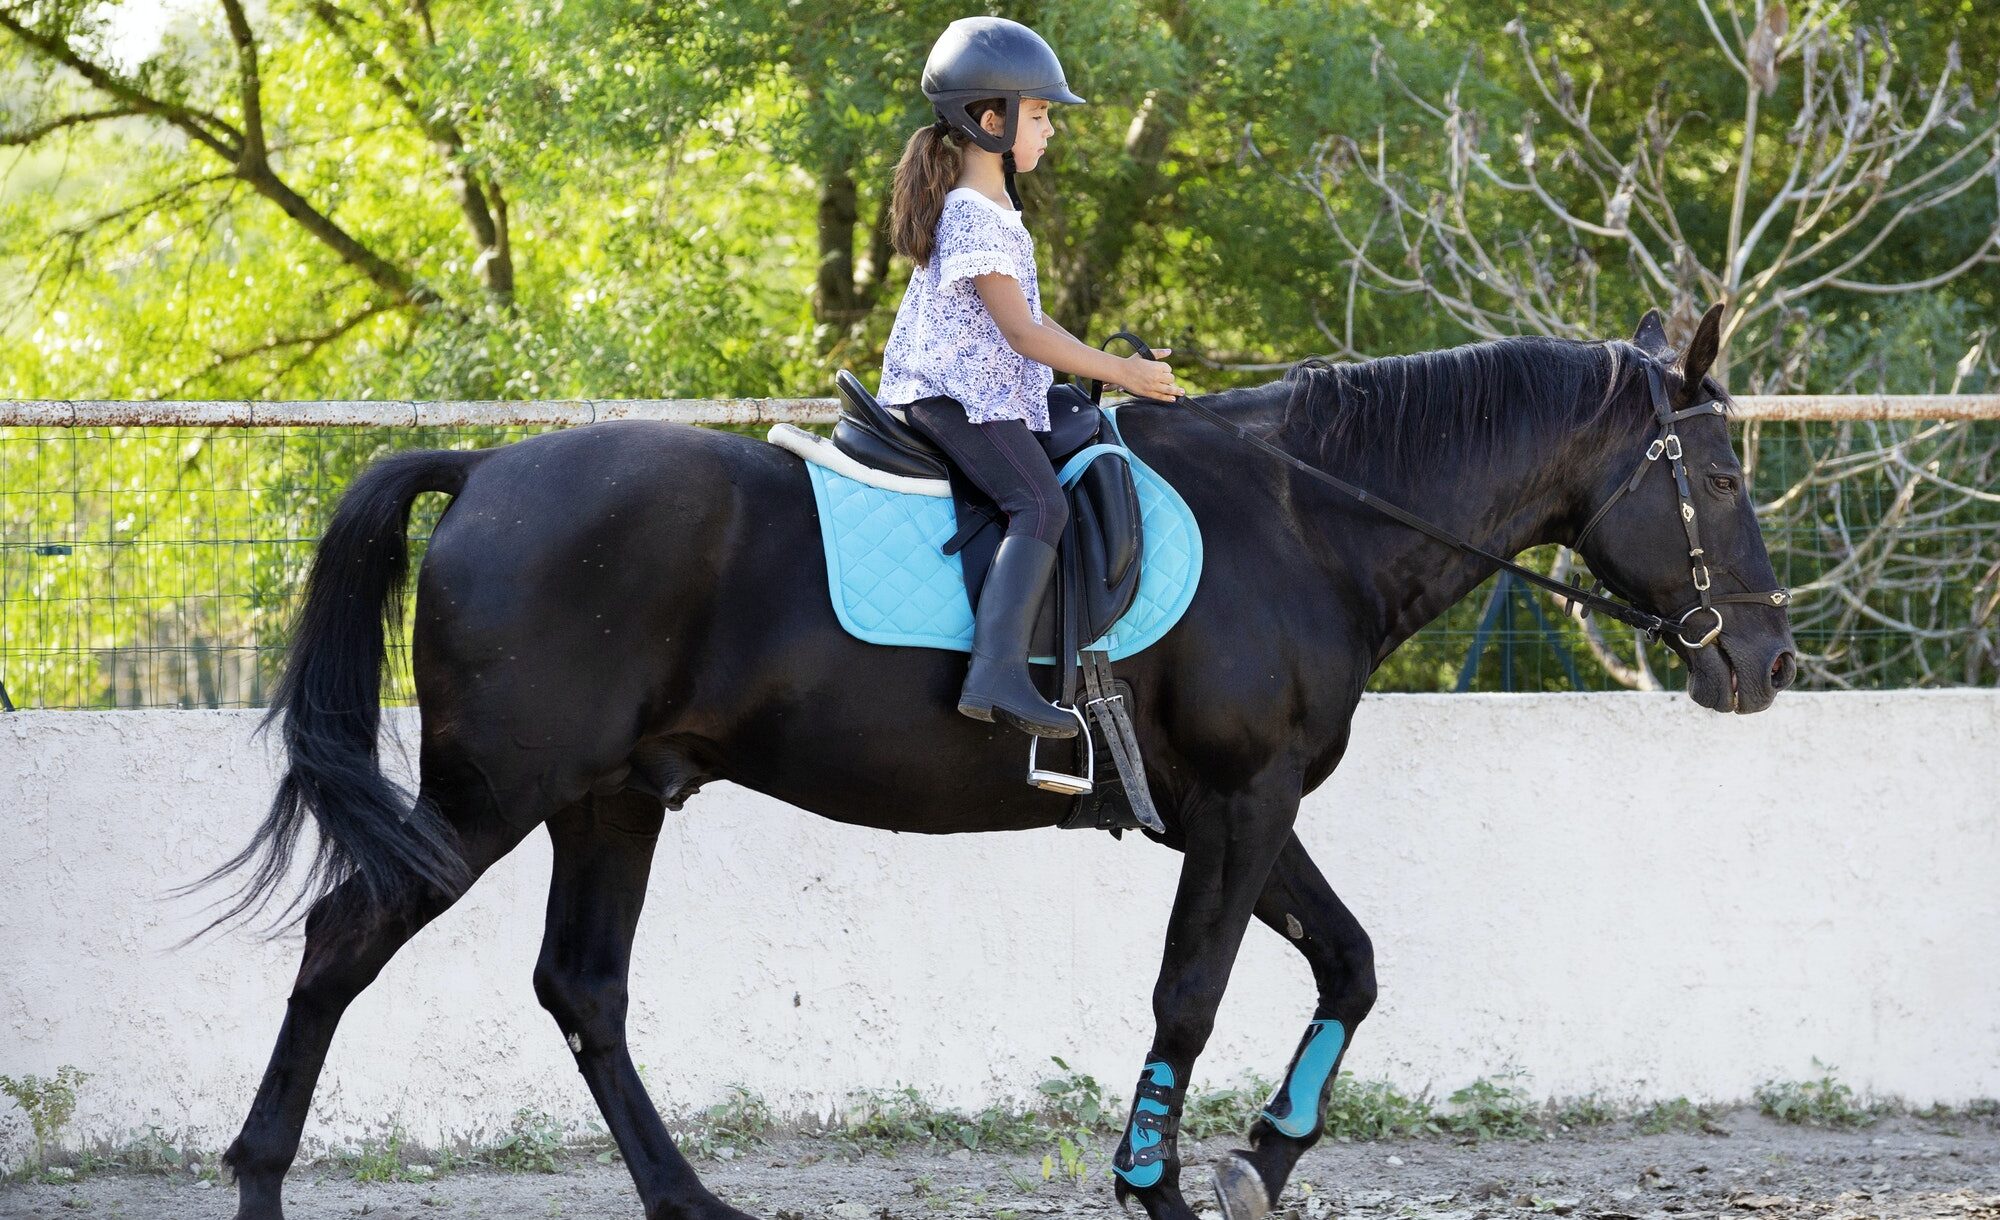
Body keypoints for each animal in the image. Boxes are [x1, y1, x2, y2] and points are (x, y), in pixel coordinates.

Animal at [215, 308, 1800, 1216]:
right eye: (1720, 477)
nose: (1767, 664)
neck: (1304, 519)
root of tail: (483, 468)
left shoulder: (1234, 808)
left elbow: (1347, 963)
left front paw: (1259, 1157)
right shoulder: (1239, 804)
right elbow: (1191, 993)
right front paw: (1157, 1183)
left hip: (611, 803)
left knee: (581, 989)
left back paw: (693, 1202)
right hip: (493, 796)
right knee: (344, 940)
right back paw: (258, 1180)